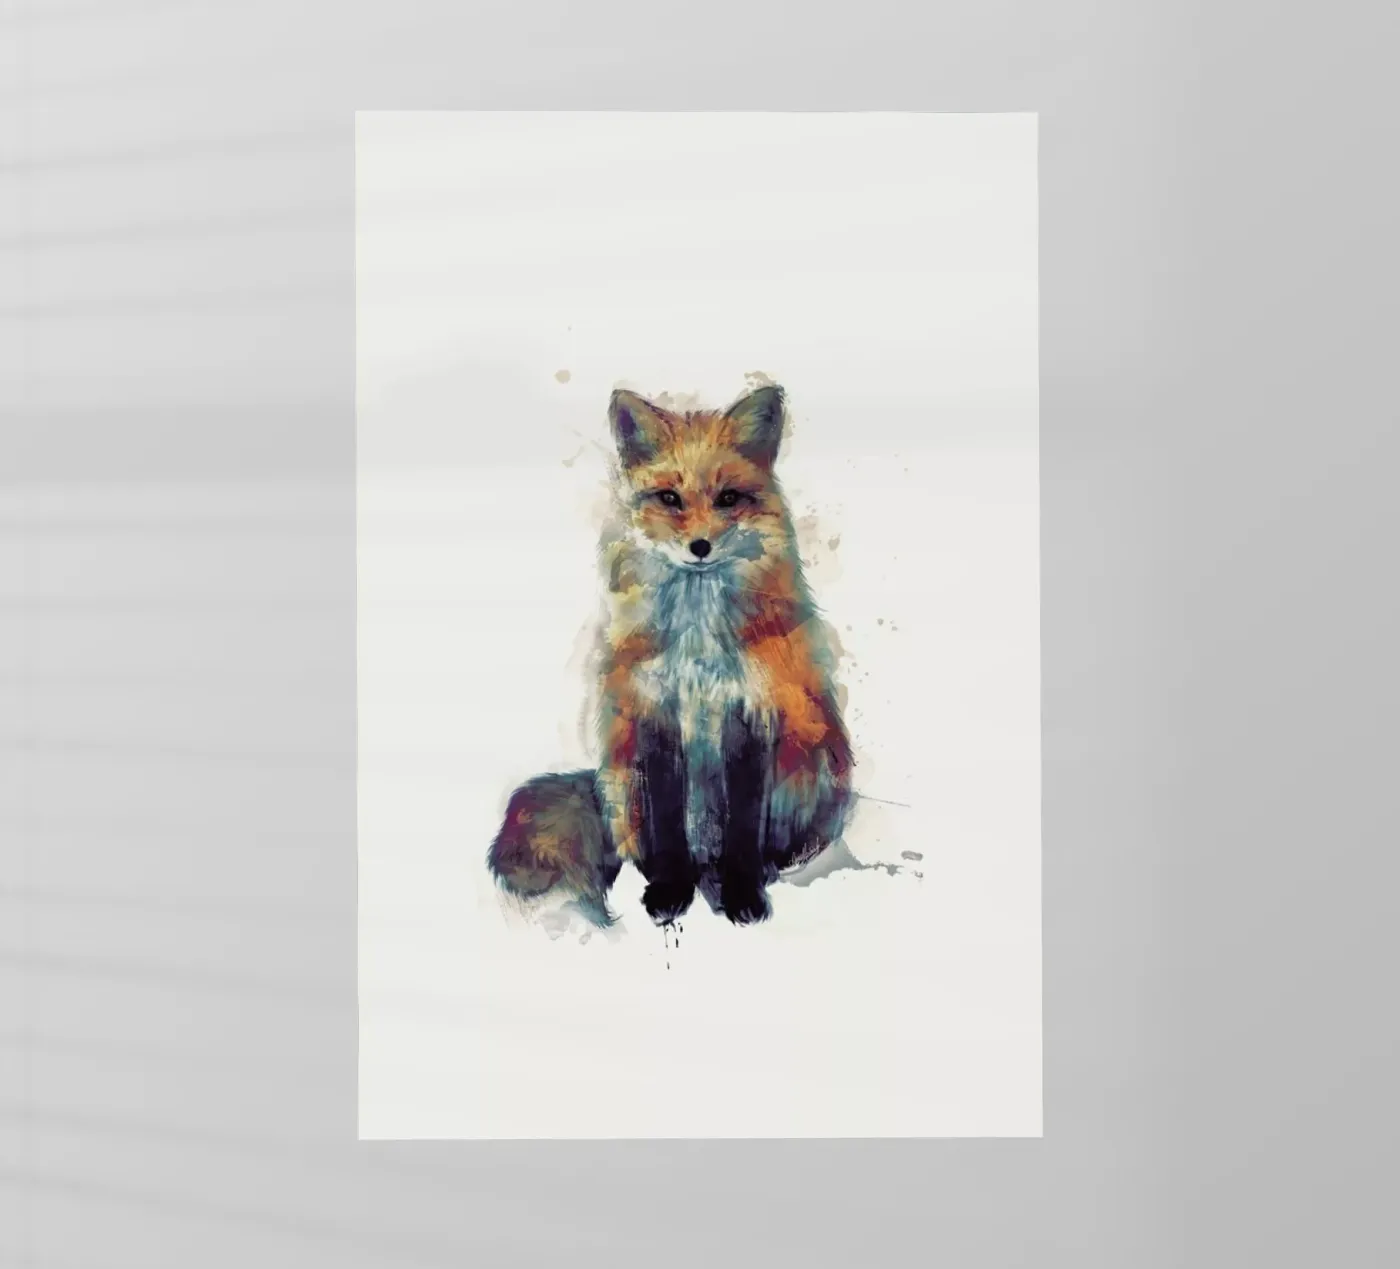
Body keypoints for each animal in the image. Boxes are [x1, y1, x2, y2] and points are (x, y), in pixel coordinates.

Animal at [488, 383, 853, 927]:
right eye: (669, 499)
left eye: (728, 499)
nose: (700, 547)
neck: (698, 647)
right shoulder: (652, 716)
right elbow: (666, 828)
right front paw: (669, 892)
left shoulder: (751, 717)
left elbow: (744, 830)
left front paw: (742, 895)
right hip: (621, 780)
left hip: (811, 759)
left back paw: (781, 859)